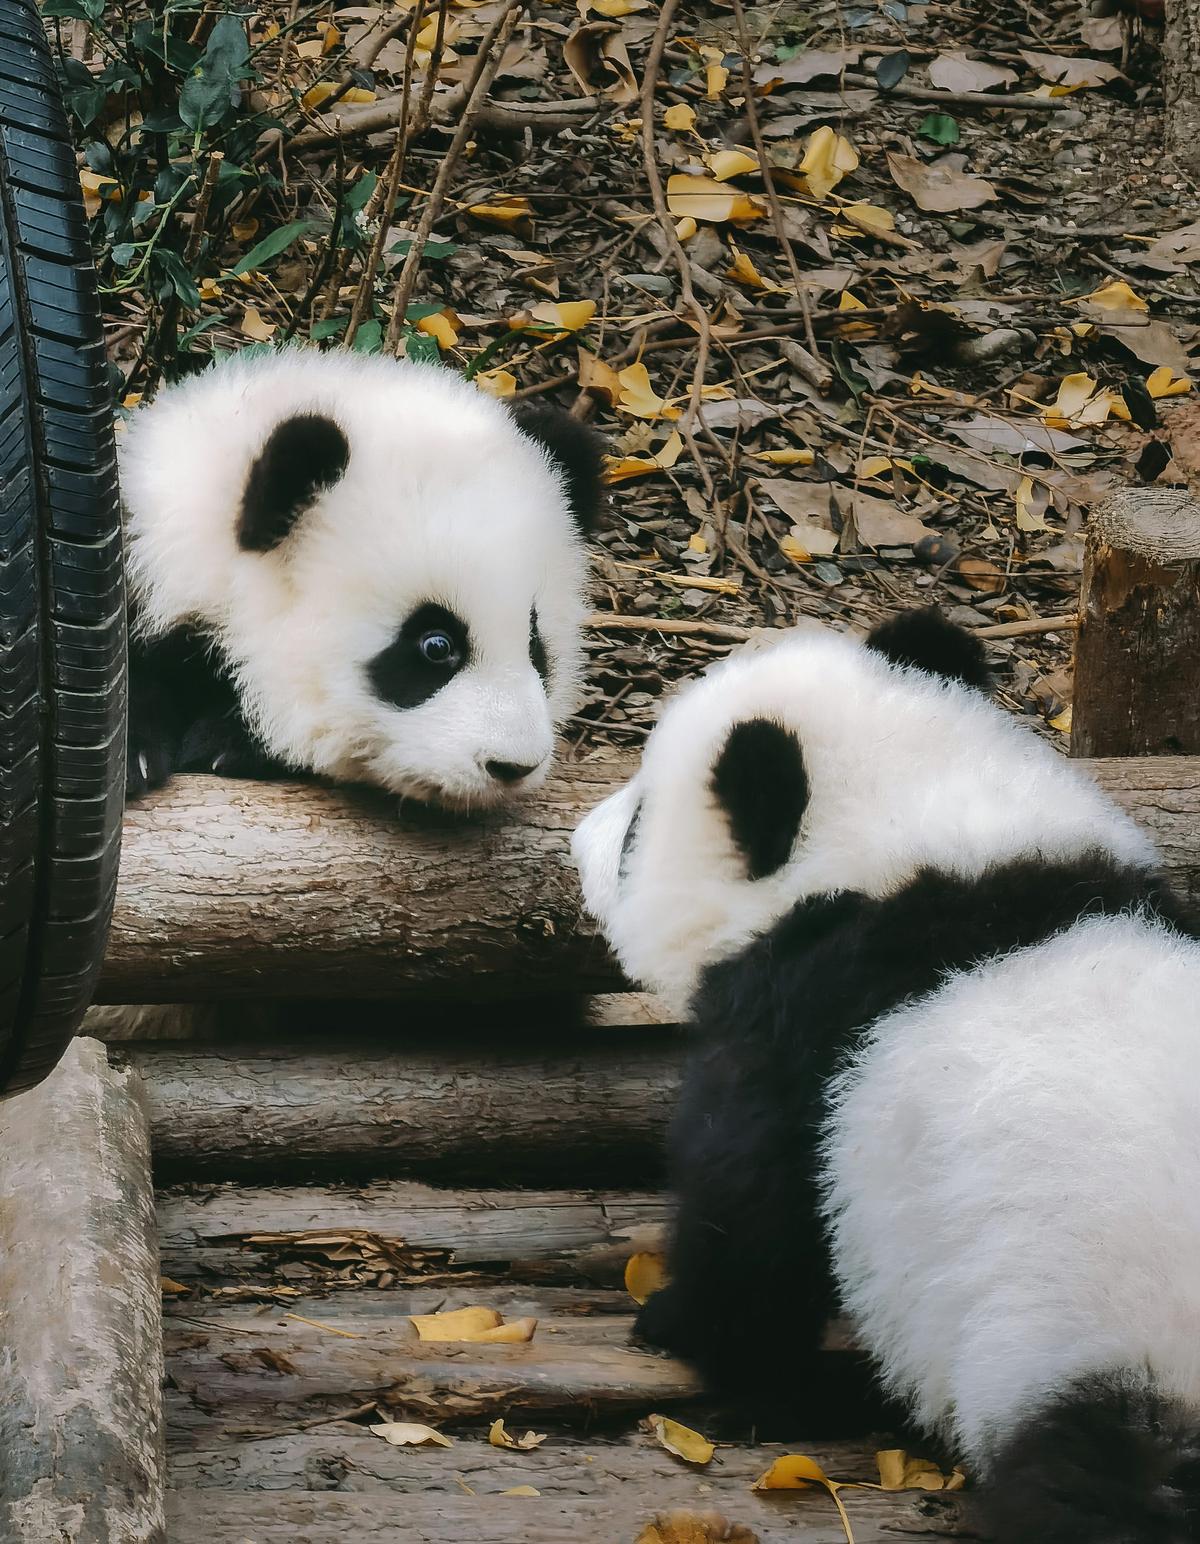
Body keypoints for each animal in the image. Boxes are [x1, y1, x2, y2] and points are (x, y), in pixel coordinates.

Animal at [571, 610, 1200, 1542]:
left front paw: (683, 1325)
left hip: (1110, 1365)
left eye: (637, 828)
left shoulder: (804, 1032)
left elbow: (753, 1216)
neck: (920, 838)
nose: (579, 837)